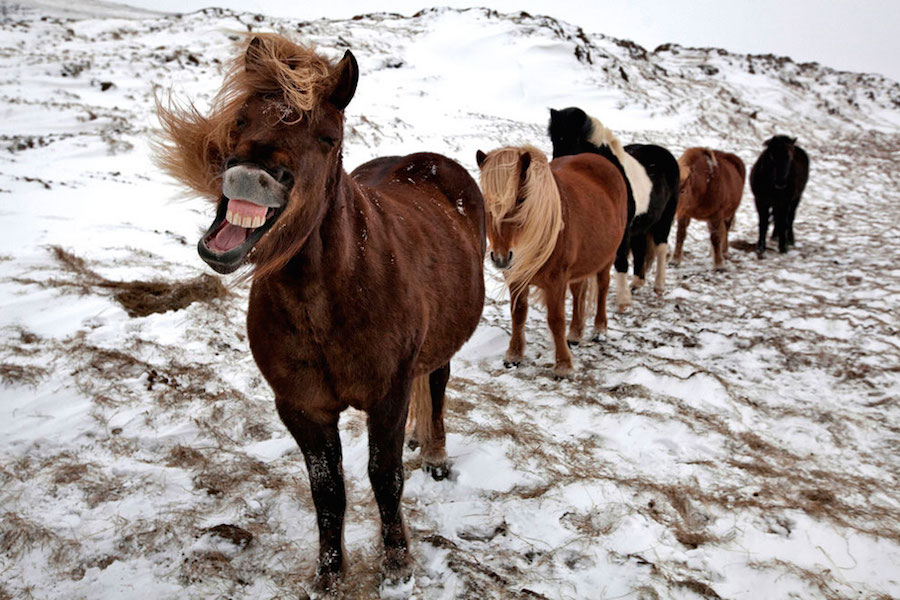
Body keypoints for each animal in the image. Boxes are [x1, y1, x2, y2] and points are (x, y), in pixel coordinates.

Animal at [156, 34, 486, 593]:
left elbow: (385, 478)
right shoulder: (301, 407)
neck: (327, 302)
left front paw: (397, 564)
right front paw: (329, 574)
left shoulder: (388, 396)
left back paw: (435, 453)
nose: (251, 176)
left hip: (441, 346)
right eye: (241, 118)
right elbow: (327, 491)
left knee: (437, 385)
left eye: (329, 137)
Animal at [475, 144, 627, 377]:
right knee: (578, 293)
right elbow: (518, 314)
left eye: (521, 199)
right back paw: (575, 334)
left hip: (607, 257)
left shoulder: (556, 281)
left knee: (602, 288)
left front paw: (563, 365)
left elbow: (555, 320)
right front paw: (514, 356)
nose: (500, 258)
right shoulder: (516, 277)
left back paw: (600, 330)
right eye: (486, 201)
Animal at [548, 107, 679, 310]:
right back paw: (636, 283)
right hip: (641, 225)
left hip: (664, 219)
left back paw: (658, 286)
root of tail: (664, 152)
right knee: (641, 248)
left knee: (661, 248)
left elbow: (620, 259)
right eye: (554, 139)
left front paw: (623, 301)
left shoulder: (621, 229)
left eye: (574, 139)